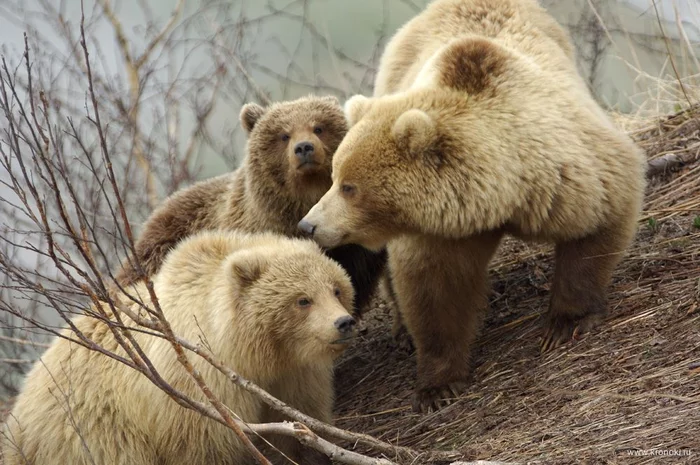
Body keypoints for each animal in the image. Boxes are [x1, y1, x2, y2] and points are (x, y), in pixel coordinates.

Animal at [1, 230, 356, 462]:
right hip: (94, 430)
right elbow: (207, 446)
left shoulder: (295, 375)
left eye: (336, 288)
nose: (343, 323)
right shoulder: (199, 389)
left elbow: (300, 429)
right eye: (303, 300)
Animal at [298, 0, 648, 414]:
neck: (500, 194)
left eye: (349, 186)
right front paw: (438, 386)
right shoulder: (438, 227)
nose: (308, 226)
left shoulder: (565, 171)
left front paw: (566, 322)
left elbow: (601, 214)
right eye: (335, 177)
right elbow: (436, 288)